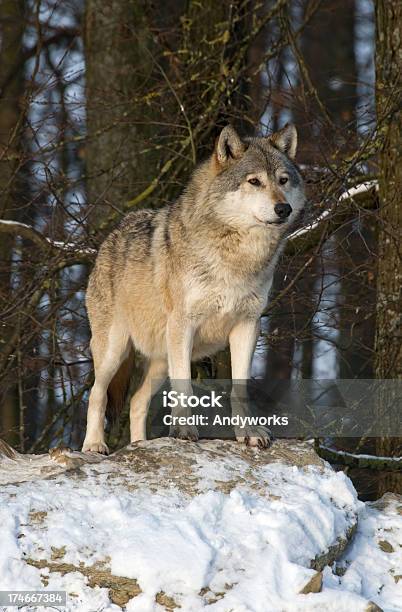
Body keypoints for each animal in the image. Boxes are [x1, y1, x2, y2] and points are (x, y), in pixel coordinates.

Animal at [83, 122, 306, 452]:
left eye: (283, 180)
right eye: (254, 181)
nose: (284, 208)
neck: (237, 257)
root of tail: (109, 238)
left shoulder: (247, 326)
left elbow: (239, 389)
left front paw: (249, 433)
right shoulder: (183, 325)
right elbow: (185, 388)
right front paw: (184, 432)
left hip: (161, 360)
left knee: (136, 401)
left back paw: (140, 446)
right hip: (116, 350)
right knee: (97, 394)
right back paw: (94, 445)